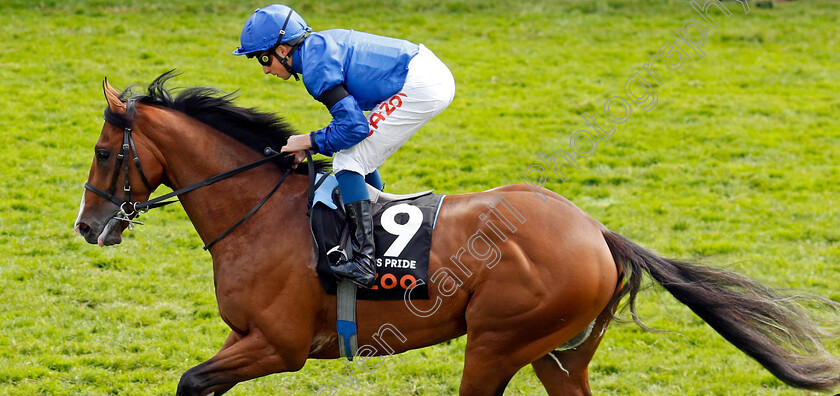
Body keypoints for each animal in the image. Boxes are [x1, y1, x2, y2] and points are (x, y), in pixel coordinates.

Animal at [74, 72, 840, 396]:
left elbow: (191, 381)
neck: (260, 214)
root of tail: (597, 230)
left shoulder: (280, 345)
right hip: (559, 355)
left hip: (499, 342)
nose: (88, 226)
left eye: (106, 154)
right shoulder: (248, 339)